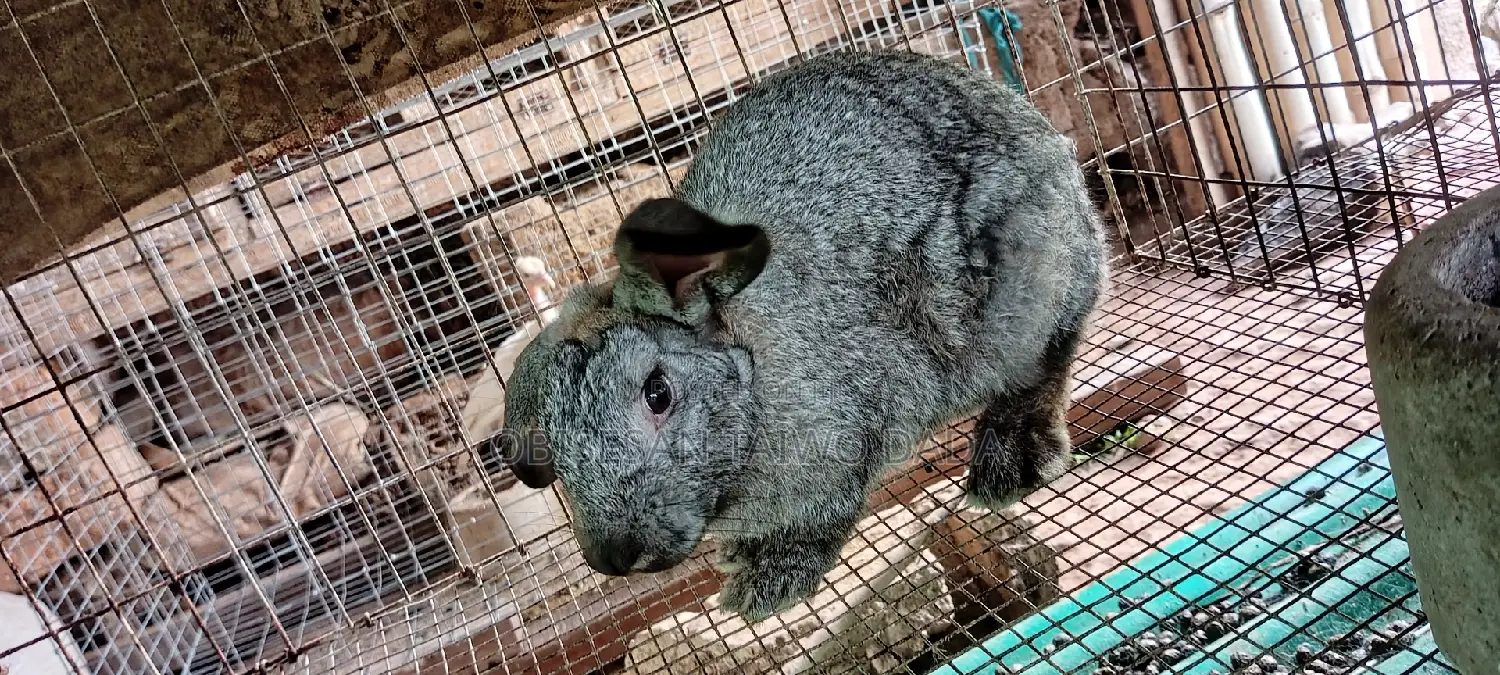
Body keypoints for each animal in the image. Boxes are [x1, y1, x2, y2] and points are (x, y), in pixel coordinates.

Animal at [484, 50, 1109, 622]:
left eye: (657, 394)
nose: (615, 556)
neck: (750, 377)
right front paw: (741, 557)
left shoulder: (842, 438)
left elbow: (821, 518)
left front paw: (764, 589)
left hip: (1028, 286)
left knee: (1047, 360)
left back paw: (1011, 461)